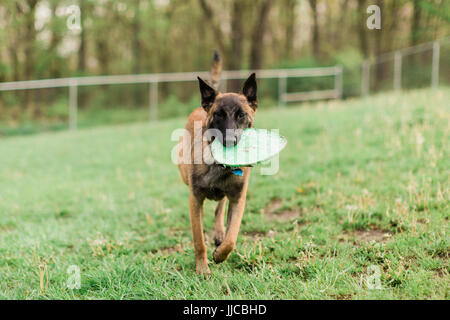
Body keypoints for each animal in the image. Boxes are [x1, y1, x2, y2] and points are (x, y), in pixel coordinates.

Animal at [178, 51, 258, 274]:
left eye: (241, 115)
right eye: (218, 115)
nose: (230, 141)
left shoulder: (239, 199)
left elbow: (232, 238)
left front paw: (220, 254)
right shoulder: (194, 200)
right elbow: (198, 239)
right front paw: (202, 267)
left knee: (220, 208)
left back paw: (219, 233)